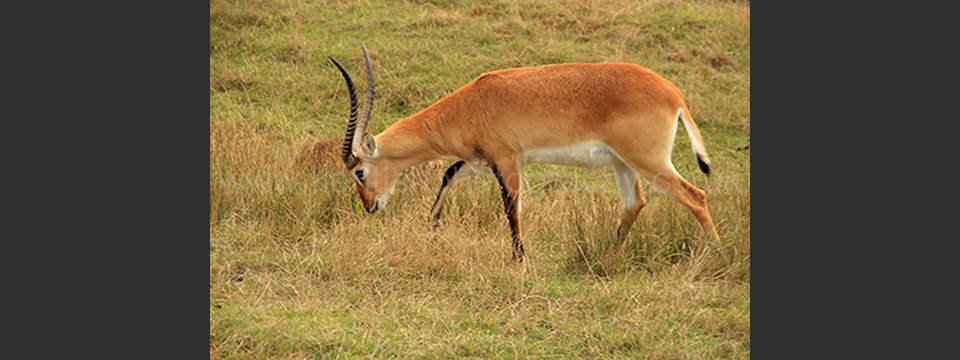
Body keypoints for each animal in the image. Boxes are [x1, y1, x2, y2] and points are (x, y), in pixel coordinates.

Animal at [330, 45, 720, 262]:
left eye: (359, 172)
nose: (370, 206)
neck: (471, 104)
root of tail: (672, 92)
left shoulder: (507, 162)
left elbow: (510, 209)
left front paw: (519, 259)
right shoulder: (478, 162)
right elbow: (447, 175)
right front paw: (431, 232)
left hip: (648, 162)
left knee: (695, 196)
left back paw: (717, 255)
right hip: (623, 165)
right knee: (635, 203)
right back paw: (609, 255)